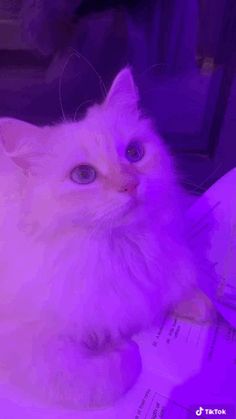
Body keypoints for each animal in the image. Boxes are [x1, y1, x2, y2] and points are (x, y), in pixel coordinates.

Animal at [0, 69, 212, 410]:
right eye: (83, 176)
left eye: (134, 154)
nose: (131, 184)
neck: (120, 249)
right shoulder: (29, 344)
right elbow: (100, 380)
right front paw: (125, 350)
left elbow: (174, 288)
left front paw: (201, 306)